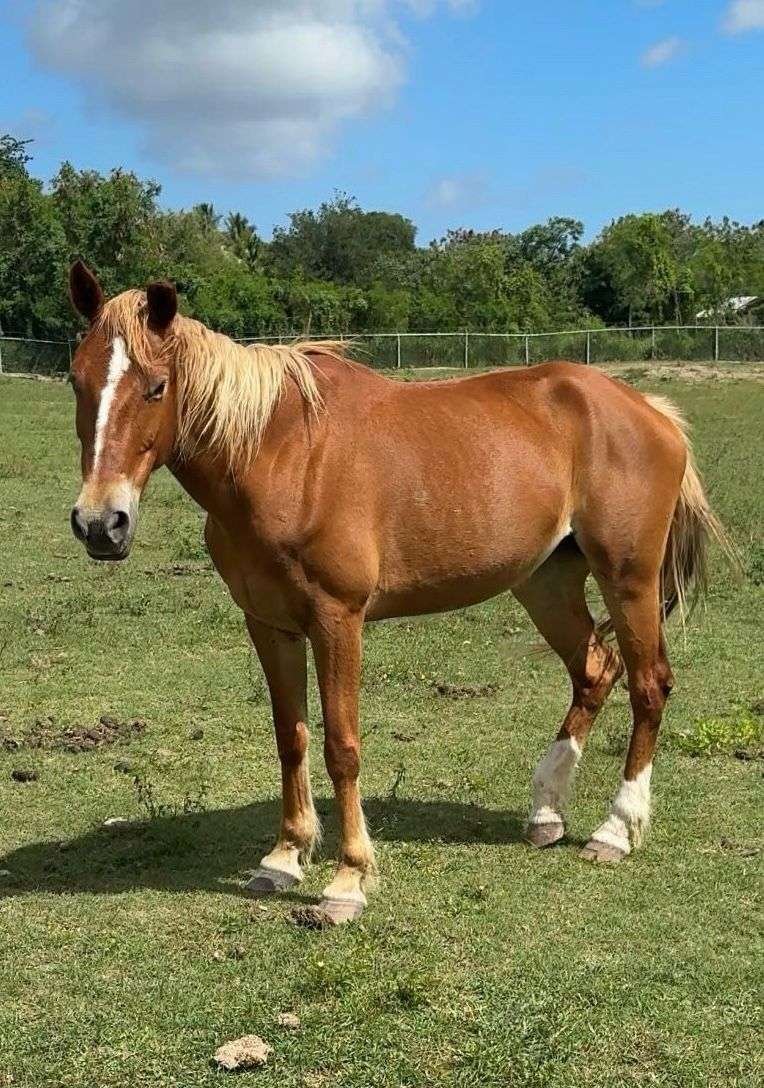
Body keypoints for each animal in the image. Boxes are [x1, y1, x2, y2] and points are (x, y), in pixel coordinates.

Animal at [66, 261, 733, 926]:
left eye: (156, 387)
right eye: (76, 382)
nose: (101, 524)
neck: (283, 456)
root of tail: (652, 411)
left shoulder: (338, 620)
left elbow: (341, 746)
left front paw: (347, 879)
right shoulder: (270, 624)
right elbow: (291, 738)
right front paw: (283, 858)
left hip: (628, 580)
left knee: (649, 686)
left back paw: (615, 830)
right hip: (545, 582)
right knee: (595, 671)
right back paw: (546, 813)